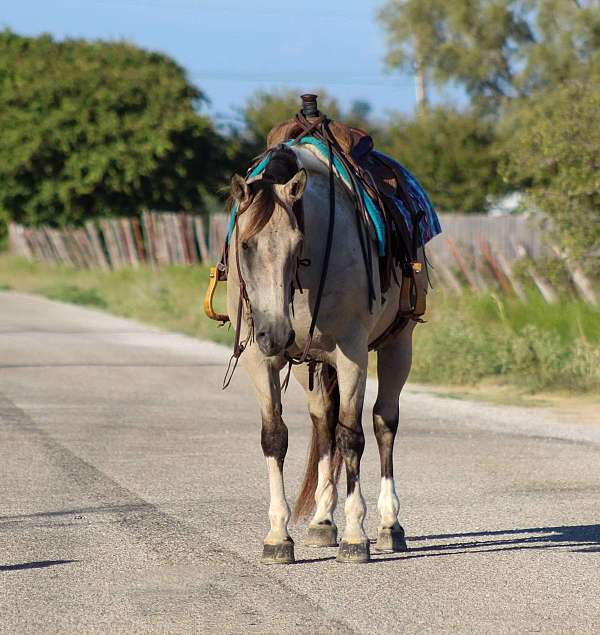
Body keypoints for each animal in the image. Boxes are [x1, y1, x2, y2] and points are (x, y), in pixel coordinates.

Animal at [207, 95, 440, 568]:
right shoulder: (261, 359)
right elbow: (276, 436)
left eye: (298, 245)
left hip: (397, 345)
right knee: (323, 422)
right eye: (245, 245)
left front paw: (355, 535)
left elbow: (353, 437)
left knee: (382, 422)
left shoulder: (352, 354)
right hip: (308, 364)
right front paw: (279, 536)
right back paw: (321, 521)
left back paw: (389, 526)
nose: (274, 333)